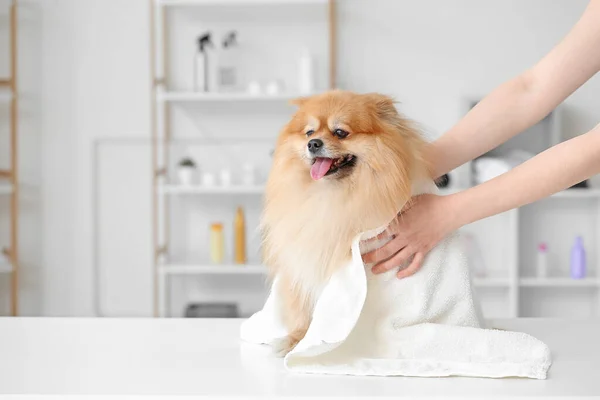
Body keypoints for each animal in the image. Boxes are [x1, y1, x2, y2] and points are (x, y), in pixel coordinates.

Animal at [260, 90, 428, 354]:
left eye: (340, 132)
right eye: (309, 132)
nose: (313, 144)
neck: (330, 197)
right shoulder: (301, 264)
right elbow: (302, 307)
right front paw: (296, 339)